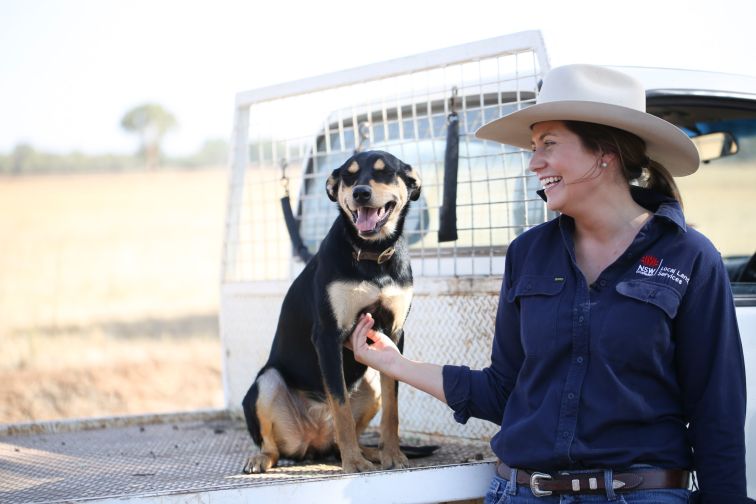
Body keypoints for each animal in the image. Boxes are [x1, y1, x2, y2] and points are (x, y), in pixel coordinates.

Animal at [241, 149, 420, 472]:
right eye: (349, 175)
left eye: (385, 171)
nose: (361, 193)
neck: (372, 255)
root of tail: (315, 441)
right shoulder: (327, 336)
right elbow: (341, 408)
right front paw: (354, 463)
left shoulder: (393, 335)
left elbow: (392, 407)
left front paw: (392, 454)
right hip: (267, 382)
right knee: (273, 446)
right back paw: (263, 457)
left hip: (370, 382)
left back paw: (370, 451)